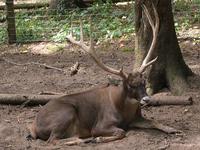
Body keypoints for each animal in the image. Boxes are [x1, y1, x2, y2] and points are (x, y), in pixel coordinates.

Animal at [27, 1, 180, 145]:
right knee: (52, 140)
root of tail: (33, 126)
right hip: (66, 113)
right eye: (130, 85)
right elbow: (121, 132)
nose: (146, 99)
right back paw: (86, 140)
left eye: (144, 82)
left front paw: (173, 129)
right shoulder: (100, 125)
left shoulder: (136, 118)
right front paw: (99, 138)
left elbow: (154, 121)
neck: (124, 112)